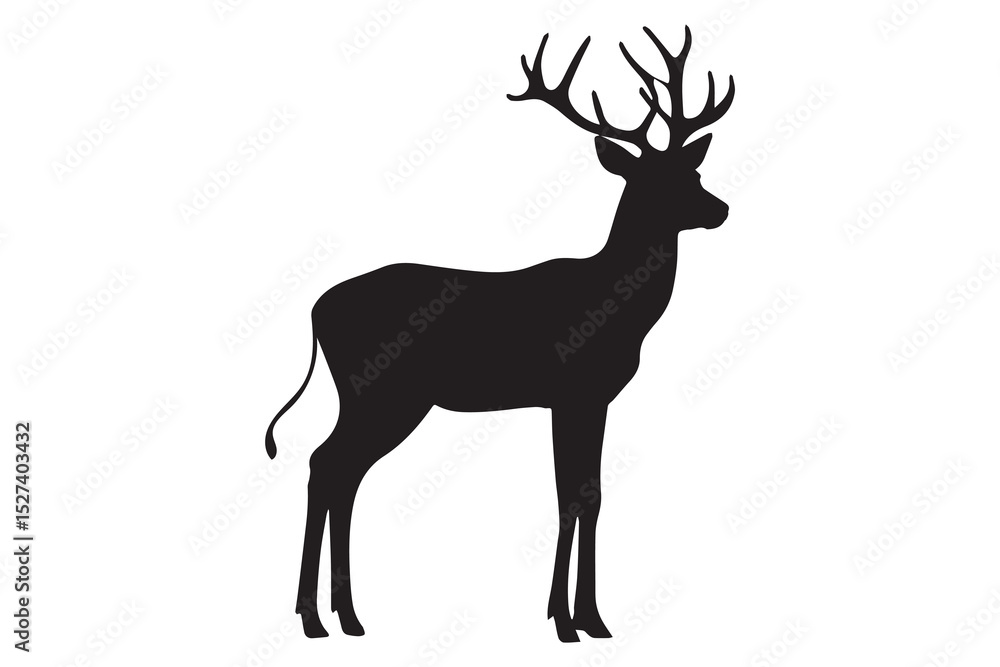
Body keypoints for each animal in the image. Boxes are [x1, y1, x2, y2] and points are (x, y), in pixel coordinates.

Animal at [265, 26, 735, 643]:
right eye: (652, 181)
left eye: (693, 173)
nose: (721, 208)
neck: (618, 307)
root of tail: (317, 310)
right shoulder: (574, 392)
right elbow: (572, 497)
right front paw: (569, 621)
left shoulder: (591, 399)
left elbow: (590, 495)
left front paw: (587, 618)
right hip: (384, 392)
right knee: (329, 465)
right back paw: (320, 618)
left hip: (375, 397)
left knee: (338, 471)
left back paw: (338, 616)